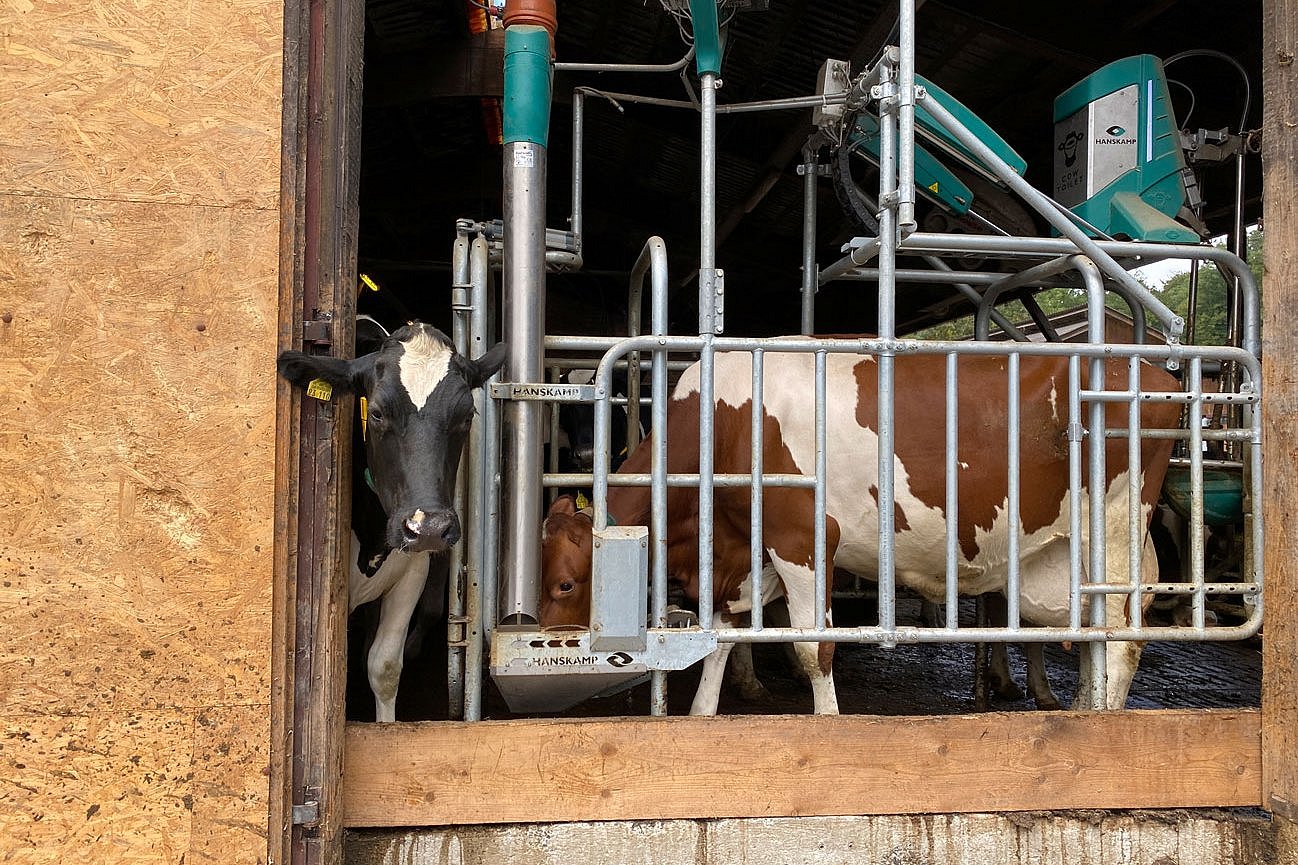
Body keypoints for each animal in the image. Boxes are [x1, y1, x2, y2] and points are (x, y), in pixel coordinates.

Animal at [539, 342, 1188, 711]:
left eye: (565, 585)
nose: (543, 646)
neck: (726, 422)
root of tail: (1159, 376)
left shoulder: (802, 540)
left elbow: (813, 650)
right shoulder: (740, 553)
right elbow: (721, 642)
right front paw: (703, 719)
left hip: (1115, 533)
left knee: (1123, 643)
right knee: (1096, 640)